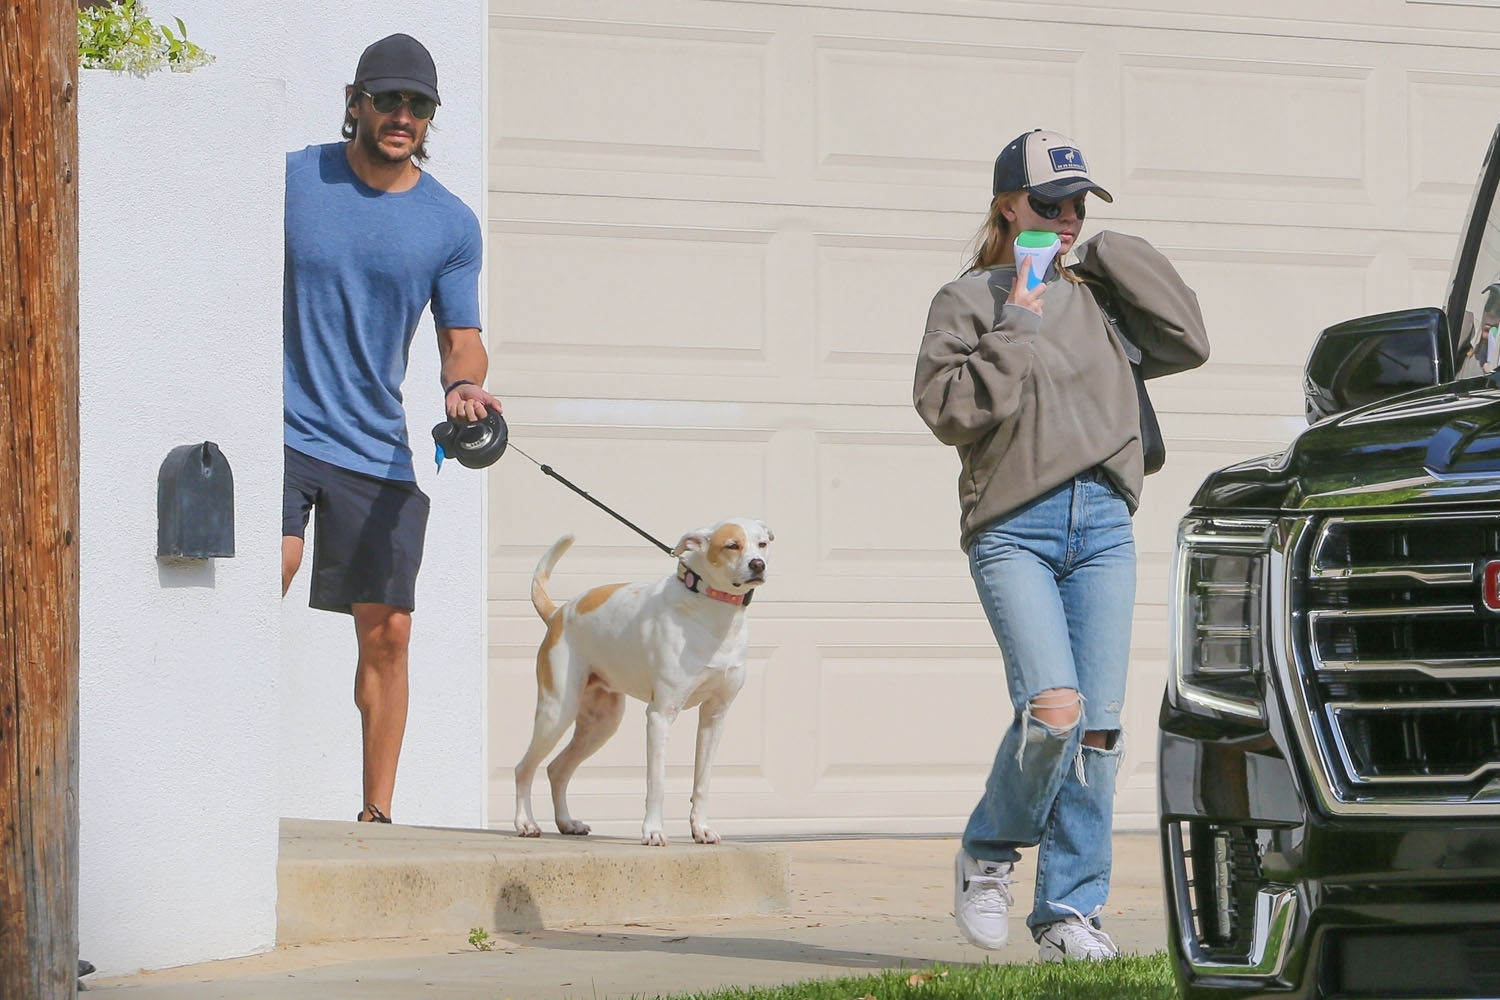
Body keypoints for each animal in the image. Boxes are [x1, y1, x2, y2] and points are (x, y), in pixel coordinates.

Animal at [516, 521, 774, 851]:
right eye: (732, 545)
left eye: (762, 544)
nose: (758, 565)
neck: (712, 608)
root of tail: (557, 614)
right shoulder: (661, 715)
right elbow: (657, 782)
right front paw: (652, 832)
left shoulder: (715, 717)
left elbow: (702, 783)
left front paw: (701, 829)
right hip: (557, 711)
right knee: (525, 768)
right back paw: (525, 823)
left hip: (602, 724)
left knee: (557, 769)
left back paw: (567, 823)